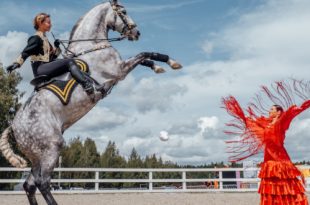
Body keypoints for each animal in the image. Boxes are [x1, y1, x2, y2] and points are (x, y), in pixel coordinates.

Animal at [0, 0, 182, 204]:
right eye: (124, 11)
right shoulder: (119, 70)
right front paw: (171, 62)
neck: (91, 45)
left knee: (29, 185)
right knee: (42, 182)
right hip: (51, 148)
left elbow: (144, 58)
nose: (136, 33)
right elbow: (144, 53)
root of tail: (13, 127)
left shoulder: (121, 68)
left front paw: (159, 67)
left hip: (37, 156)